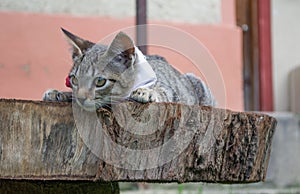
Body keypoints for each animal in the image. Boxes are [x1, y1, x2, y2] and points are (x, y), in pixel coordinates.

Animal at [43, 28, 214, 111]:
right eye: (74, 80)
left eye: (100, 81)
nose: (81, 98)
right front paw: (60, 93)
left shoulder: (172, 92)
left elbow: (163, 91)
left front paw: (146, 92)